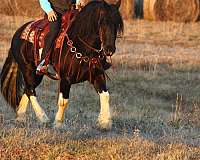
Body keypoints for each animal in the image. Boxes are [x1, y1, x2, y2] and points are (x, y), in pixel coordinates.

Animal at [0, 0, 123, 129]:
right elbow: (64, 101)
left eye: (117, 24)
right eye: (102, 23)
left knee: (28, 89)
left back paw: (21, 117)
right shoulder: (65, 78)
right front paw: (58, 123)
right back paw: (43, 118)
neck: (82, 45)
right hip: (27, 68)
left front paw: (105, 122)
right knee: (30, 90)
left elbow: (105, 95)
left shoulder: (97, 75)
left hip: (37, 74)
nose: (109, 50)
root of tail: (18, 33)